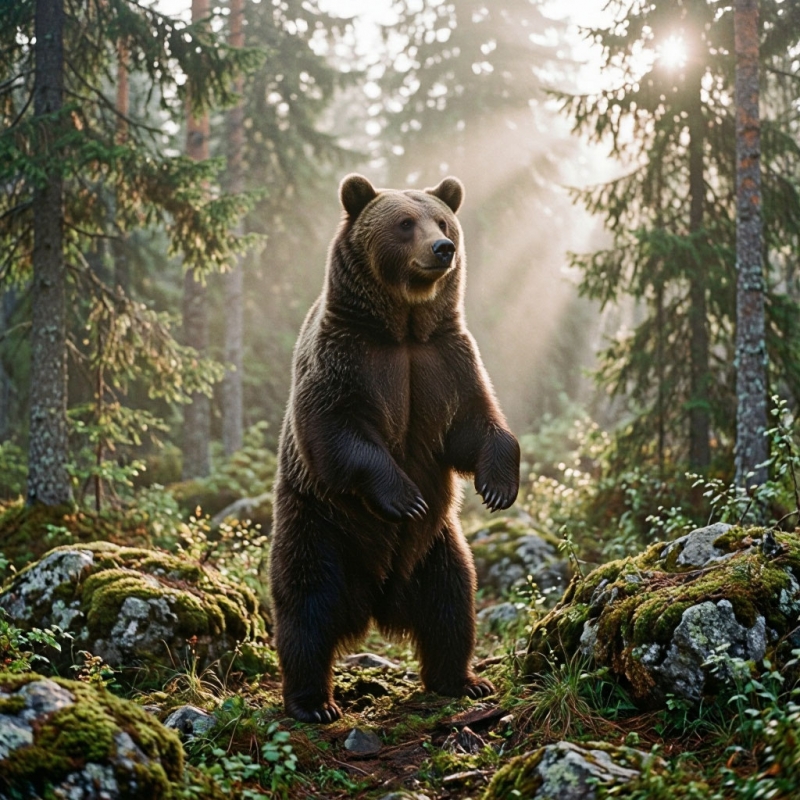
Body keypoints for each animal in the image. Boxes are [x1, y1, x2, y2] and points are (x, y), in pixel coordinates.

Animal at [269, 173, 520, 723]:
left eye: (442, 221)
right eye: (405, 224)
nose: (443, 248)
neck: (403, 326)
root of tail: (378, 597)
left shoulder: (444, 359)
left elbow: (476, 423)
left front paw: (499, 486)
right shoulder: (345, 357)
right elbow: (336, 432)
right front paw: (404, 496)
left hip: (435, 548)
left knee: (453, 602)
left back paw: (463, 680)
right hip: (319, 526)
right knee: (307, 605)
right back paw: (313, 702)